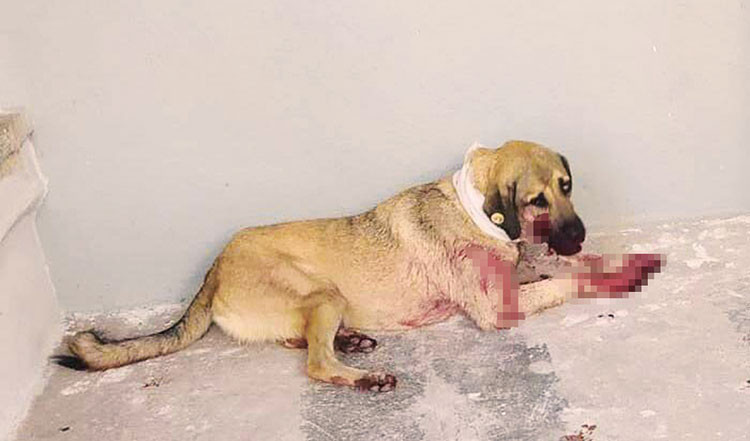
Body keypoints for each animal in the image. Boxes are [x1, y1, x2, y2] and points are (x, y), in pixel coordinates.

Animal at [55, 140, 661, 392]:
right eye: (537, 200)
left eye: (567, 186)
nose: (579, 234)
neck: (480, 211)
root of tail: (214, 269)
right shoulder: (500, 308)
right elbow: (568, 280)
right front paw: (616, 275)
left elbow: (562, 270)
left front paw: (620, 258)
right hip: (323, 294)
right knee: (315, 363)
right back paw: (361, 374)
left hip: (316, 304)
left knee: (297, 340)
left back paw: (350, 341)